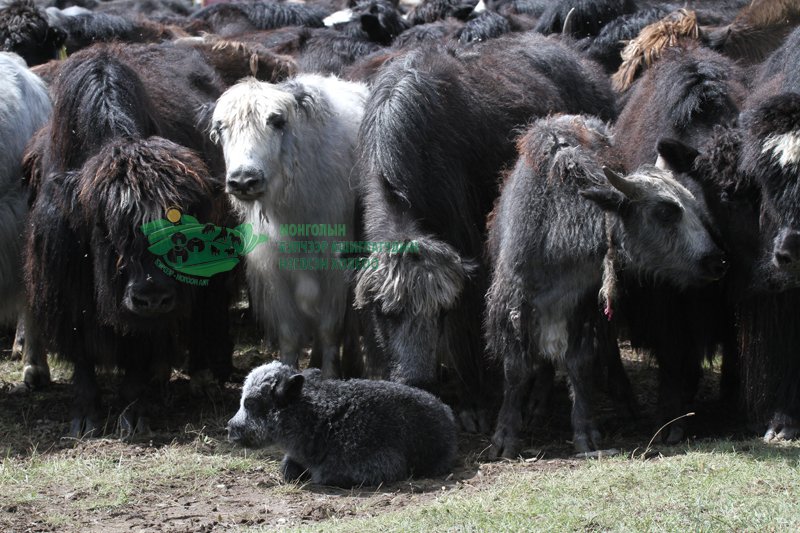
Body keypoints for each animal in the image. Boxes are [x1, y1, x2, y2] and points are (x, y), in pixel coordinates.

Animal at [484, 114, 728, 456]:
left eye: (693, 207)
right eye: (665, 212)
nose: (716, 261)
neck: (557, 234)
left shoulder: (586, 307)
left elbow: (580, 364)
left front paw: (586, 432)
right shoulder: (514, 304)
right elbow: (516, 369)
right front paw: (505, 436)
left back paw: (625, 402)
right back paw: (537, 406)